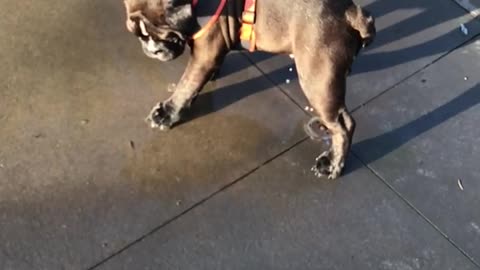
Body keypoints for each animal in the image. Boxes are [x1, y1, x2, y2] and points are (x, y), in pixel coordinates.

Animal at [123, 0, 376, 179]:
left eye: (158, 33)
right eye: (139, 35)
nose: (150, 50)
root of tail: (350, 12)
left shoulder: (205, 50)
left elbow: (187, 84)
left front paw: (167, 113)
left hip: (316, 77)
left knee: (344, 125)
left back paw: (332, 165)